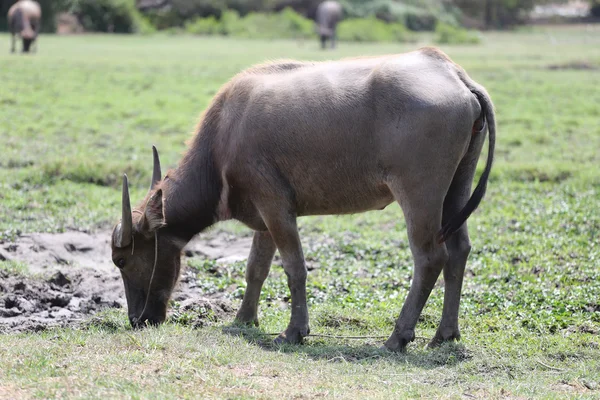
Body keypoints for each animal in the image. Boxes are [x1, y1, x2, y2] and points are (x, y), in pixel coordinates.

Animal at [110, 47, 494, 354]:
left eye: (122, 261)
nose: (137, 319)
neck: (225, 137)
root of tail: (454, 75)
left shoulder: (276, 206)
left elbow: (294, 268)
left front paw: (294, 331)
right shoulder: (263, 217)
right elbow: (256, 268)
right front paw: (244, 318)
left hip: (419, 194)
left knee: (430, 258)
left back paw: (397, 337)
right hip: (456, 189)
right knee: (459, 250)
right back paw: (445, 334)